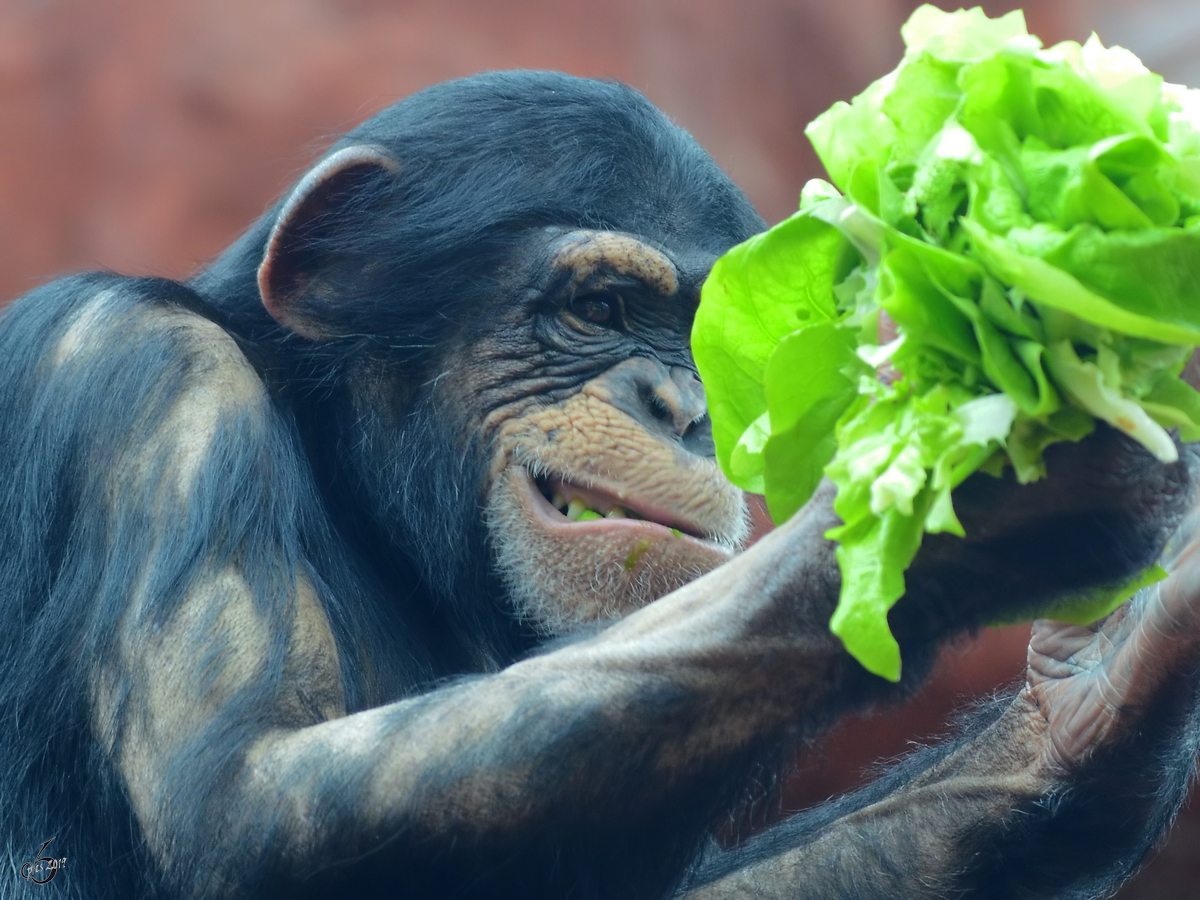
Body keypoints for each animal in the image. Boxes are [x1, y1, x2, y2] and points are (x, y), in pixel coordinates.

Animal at [2, 72, 1200, 900]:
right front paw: (963, 503)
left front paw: (1083, 702)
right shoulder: (147, 386)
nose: (679, 408)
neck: (352, 478)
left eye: (706, 343)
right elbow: (242, 805)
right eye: (602, 310)